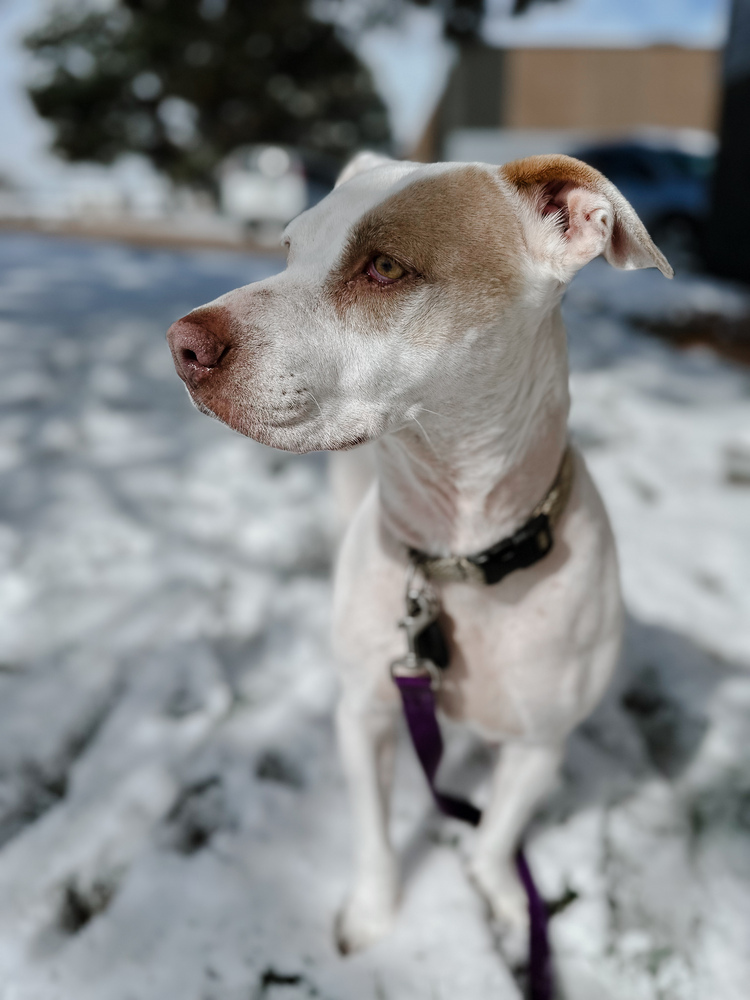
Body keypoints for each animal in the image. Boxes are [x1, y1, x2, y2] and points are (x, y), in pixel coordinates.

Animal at [167, 150, 672, 960]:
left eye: (383, 268)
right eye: (290, 248)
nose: (182, 344)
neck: (455, 552)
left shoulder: (539, 745)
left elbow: (495, 837)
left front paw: (500, 899)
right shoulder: (365, 715)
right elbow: (374, 835)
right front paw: (374, 916)